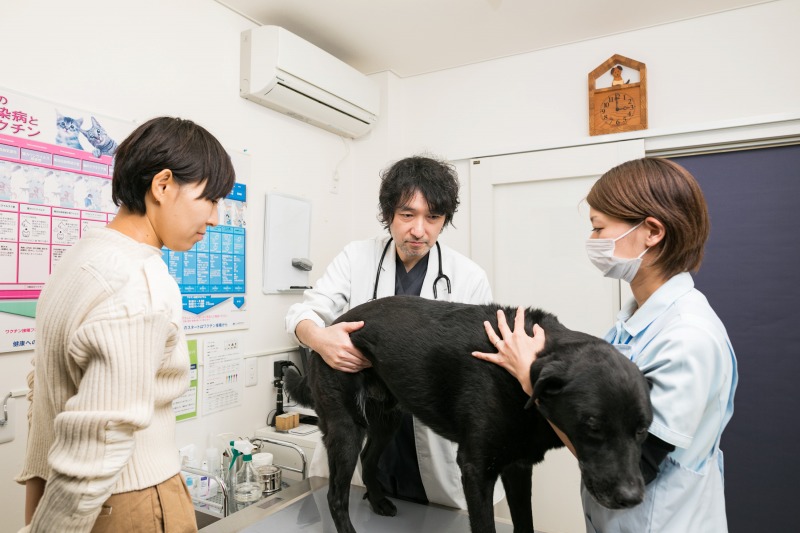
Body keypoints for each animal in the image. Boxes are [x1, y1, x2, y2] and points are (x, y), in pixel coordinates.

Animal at [284, 296, 652, 532]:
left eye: (643, 430)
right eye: (592, 425)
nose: (633, 498)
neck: (522, 379)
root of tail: (329, 328)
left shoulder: (518, 468)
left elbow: (525, 525)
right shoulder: (476, 469)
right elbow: (485, 527)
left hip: (385, 421)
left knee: (368, 459)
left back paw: (378, 501)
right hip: (346, 427)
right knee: (335, 496)